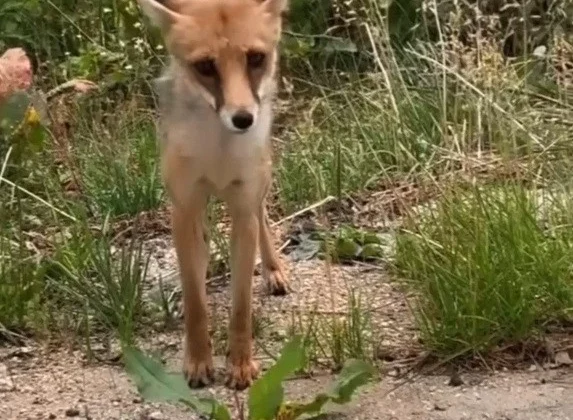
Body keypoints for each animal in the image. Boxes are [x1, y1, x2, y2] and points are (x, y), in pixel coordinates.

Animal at [137, 0, 290, 390]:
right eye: (206, 67)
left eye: (255, 58)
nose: (243, 118)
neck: (219, 155)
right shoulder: (184, 211)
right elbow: (196, 304)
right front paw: (198, 361)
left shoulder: (242, 211)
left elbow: (241, 308)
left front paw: (240, 365)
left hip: (259, 183)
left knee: (263, 215)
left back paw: (274, 270)